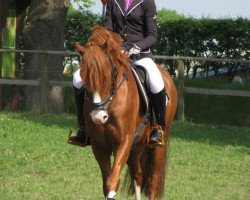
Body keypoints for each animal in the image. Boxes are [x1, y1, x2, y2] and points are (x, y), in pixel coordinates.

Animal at [74, 27, 178, 200]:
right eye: (84, 78)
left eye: (106, 76)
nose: (98, 117)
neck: (111, 101)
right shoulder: (99, 145)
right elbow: (106, 183)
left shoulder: (123, 141)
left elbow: (112, 181)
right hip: (136, 146)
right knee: (138, 175)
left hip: (157, 144)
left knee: (154, 181)